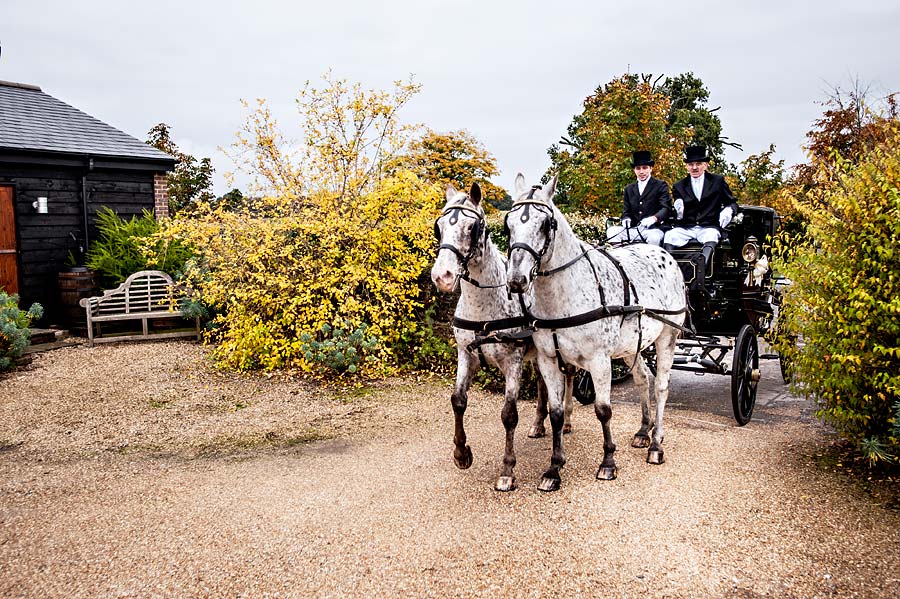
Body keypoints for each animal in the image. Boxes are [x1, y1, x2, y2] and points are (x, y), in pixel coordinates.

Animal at [502, 173, 684, 492]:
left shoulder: (599, 361)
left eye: (545, 224)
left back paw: (656, 444)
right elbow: (556, 413)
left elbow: (603, 409)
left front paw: (608, 462)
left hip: (667, 338)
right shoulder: (549, 360)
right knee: (642, 378)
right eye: (508, 223)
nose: (516, 280)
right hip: (632, 347)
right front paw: (554, 468)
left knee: (661, 386)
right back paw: (643, 431)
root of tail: (662, 252)